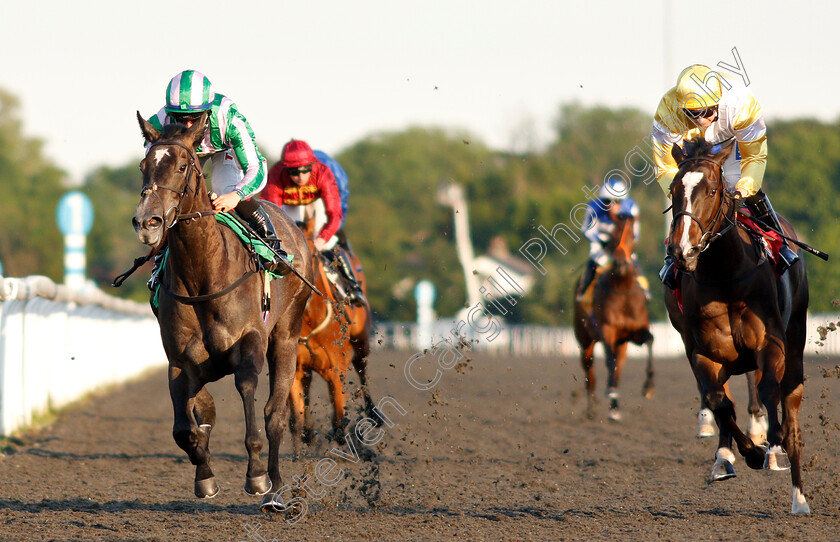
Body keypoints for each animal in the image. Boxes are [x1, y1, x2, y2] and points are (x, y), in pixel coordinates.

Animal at [133, 112, 314, 512]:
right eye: (143, 167)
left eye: (182, 166)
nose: (147, 222)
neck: (203, 274)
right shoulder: (180, 361)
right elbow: (186, 429)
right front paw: (205, 478)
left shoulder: (250, 343)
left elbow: (249, 397)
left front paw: (256, 476)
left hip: (286, 336)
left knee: (275, 415)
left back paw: (276, 490)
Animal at [290, 216, 378, 454]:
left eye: (311, 254)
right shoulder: (295, 367)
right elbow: (296, 416)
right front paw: (298, 451)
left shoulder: (336, 368)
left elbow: (339, 415)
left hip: (361, 341)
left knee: (362, 368)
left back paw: (374, 414)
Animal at [572, 211, 656, 420]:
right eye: (614, 235)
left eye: (632, 235)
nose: (620, 263)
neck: (622, 288)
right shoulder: (608, 330)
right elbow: (610, 362)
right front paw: (609, 390)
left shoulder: (635, 332)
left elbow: (650, 341)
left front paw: (649, 387)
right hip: (585, 340)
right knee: (590, 372)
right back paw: (592, 408)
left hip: (622, 344)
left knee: (618, 367)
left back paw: (614, 409)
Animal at [668, 138, 812, 516]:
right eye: (674, 190)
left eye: (712, 189)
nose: (682, 250)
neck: (725, 276)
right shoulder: (701, 352)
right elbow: (719, 402)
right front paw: (747, 453)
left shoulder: (770, 343)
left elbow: (768, 390)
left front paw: (772, 448)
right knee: (722, 398)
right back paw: (725, 458)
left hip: (796, 341)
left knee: (789, 407)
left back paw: (798, 496)